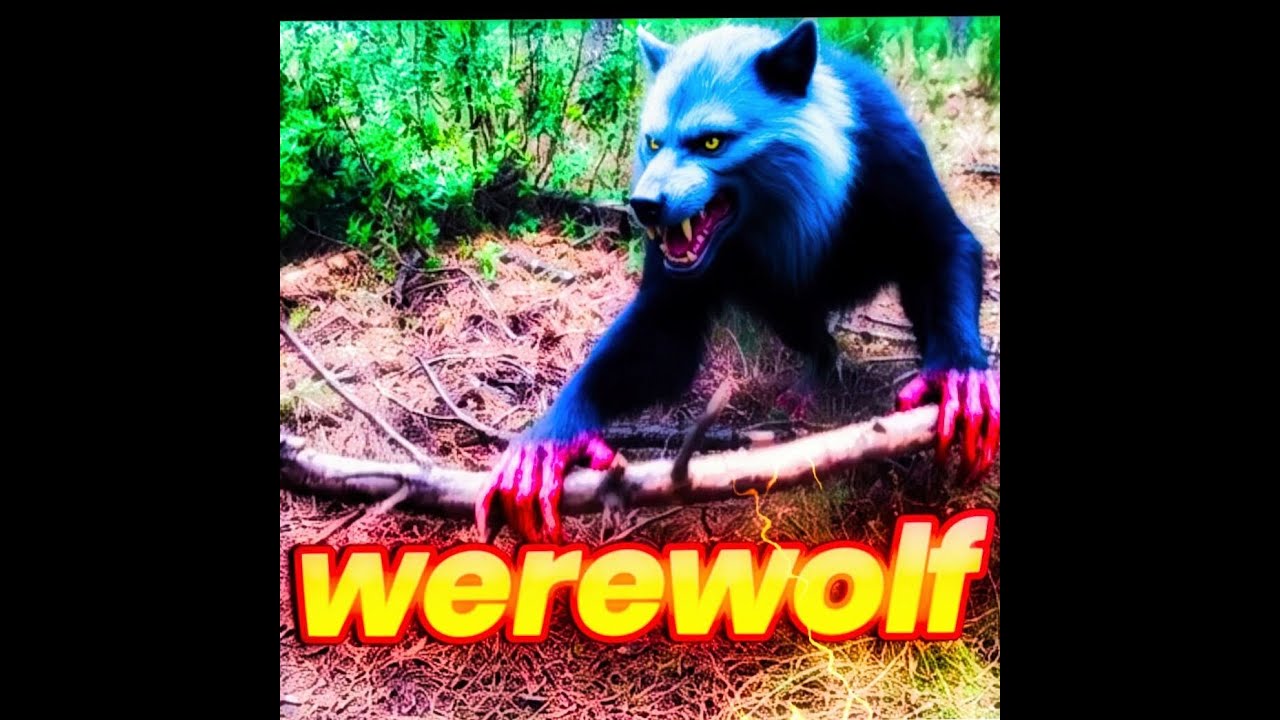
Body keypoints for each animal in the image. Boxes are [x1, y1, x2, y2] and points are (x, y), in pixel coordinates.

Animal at [476, 20, 1000, 544]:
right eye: (652, 143)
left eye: (712, 143)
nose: (643, 205)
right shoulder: (670, 309)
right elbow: (653, 347)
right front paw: (552, 440)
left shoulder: (900, 165)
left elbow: (948, 251)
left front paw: (959, 376)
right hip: (784, 310)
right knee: (817, 341)